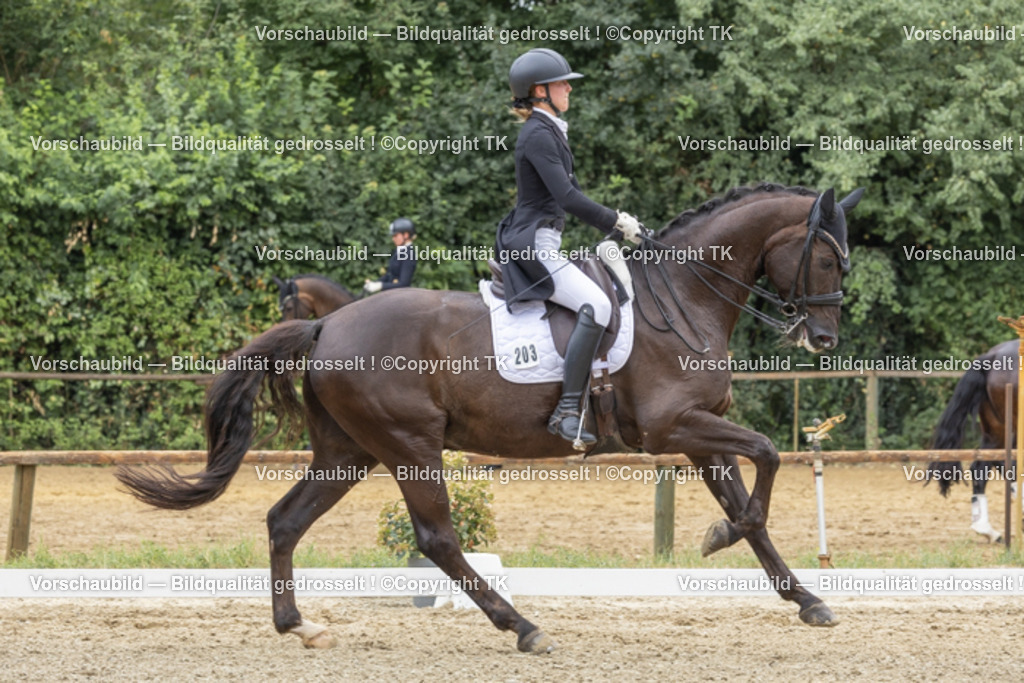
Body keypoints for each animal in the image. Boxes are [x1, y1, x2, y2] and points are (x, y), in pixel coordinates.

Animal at [117, 183, 864, 652]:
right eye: (828, 257)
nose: (824, 339)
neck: (681, 297)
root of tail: (327, 324)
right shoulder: (672, 427)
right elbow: (767, 455)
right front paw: (719, 537)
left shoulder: (699, 431)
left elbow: (754, 505)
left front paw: (804, 597)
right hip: (409, 445)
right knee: (438, 539)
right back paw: (524, 627)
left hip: (349, 451)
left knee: (285, 520)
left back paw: (298, 625)